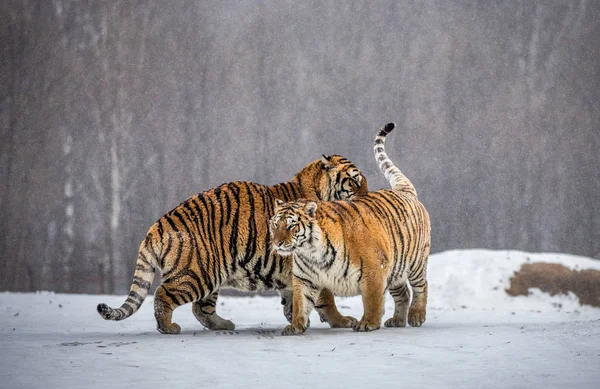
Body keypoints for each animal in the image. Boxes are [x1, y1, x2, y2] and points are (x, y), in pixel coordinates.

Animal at [96, 155, 368, 334]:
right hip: (197, 273)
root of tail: (158, 224)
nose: (366, 196)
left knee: (201, 308)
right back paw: (169, 327)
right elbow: (326, 298)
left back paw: (223, 325)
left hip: (211, 273)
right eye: (354, 182)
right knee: (164, 295)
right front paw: (342, 321)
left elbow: (295, 297)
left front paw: (297, 318)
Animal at [270, 123, 428, 334]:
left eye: (291, 225)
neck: (311, 251)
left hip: (415, 262)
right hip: (396, 268)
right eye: (275, 224)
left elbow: (372, 301)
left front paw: (368, 323)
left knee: (421, 286)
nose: (277, 243)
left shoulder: (374, 270)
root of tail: (404, 191)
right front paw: (295, 327)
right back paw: (397, 320)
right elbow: (300, 303)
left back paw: (416, 316)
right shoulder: (304, 279)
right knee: (403, 292)